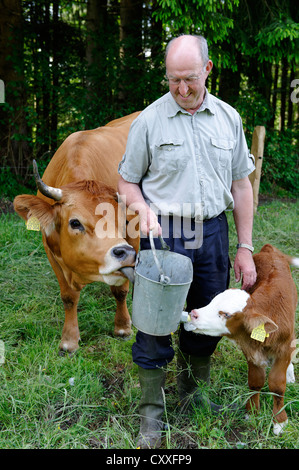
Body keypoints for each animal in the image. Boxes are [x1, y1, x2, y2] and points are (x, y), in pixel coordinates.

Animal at [13, 111, 141, 352]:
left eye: (122, 221)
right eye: (75, 223)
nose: (122, 252)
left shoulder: (133, 238)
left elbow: (120, 290)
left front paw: (122, 327)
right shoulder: (50, 249)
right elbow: (69, 297)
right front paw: (69, 340)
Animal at [186, 244, 298, 436]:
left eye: (226, 314)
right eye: (212, 302)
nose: (193, 314)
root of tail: (269, 249)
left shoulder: (283, 348)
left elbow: (277, 384)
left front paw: (280, 422)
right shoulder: (250, 349)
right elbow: (255, 381)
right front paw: (252, 413)